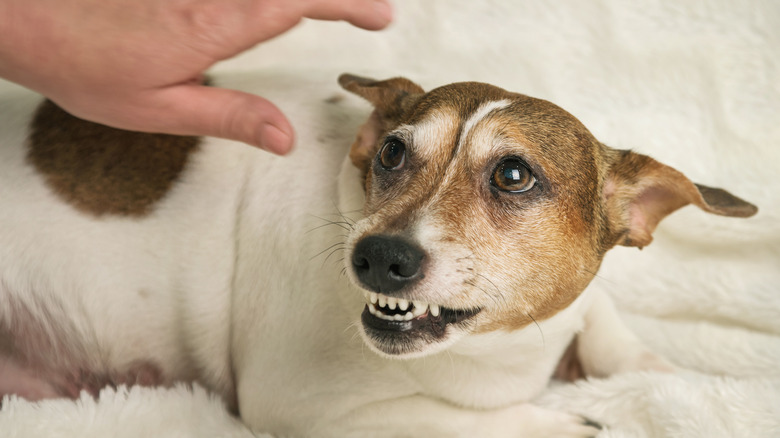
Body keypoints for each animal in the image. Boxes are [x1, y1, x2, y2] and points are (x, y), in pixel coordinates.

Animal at [0, 73, 756, 436]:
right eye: (392, 152)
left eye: (514, 175)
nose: (378, 256)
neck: (494, 351)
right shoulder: (309, 410)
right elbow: (464, 425)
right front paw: (565, 422)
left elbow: (615, 336)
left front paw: (669, 376)